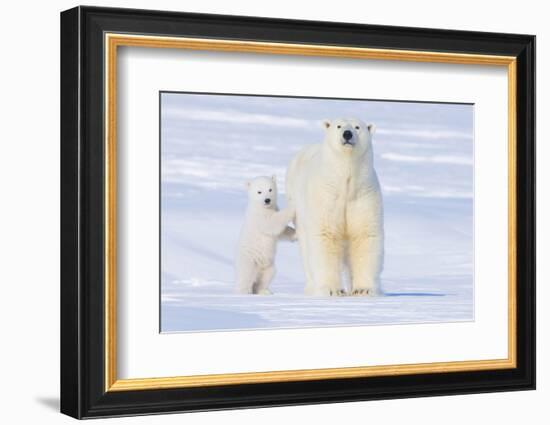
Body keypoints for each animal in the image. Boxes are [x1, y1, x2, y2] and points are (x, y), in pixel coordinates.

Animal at [286, 117, 386, 296]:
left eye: (357, 127)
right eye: (339, 126)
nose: (347, 134)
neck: (345, 184)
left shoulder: (363, 195)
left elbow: (364, 235)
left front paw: (363, 290)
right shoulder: (326, 196)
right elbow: (325, 235)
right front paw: (332, 290)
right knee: (306, 249)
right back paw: (311, 287)